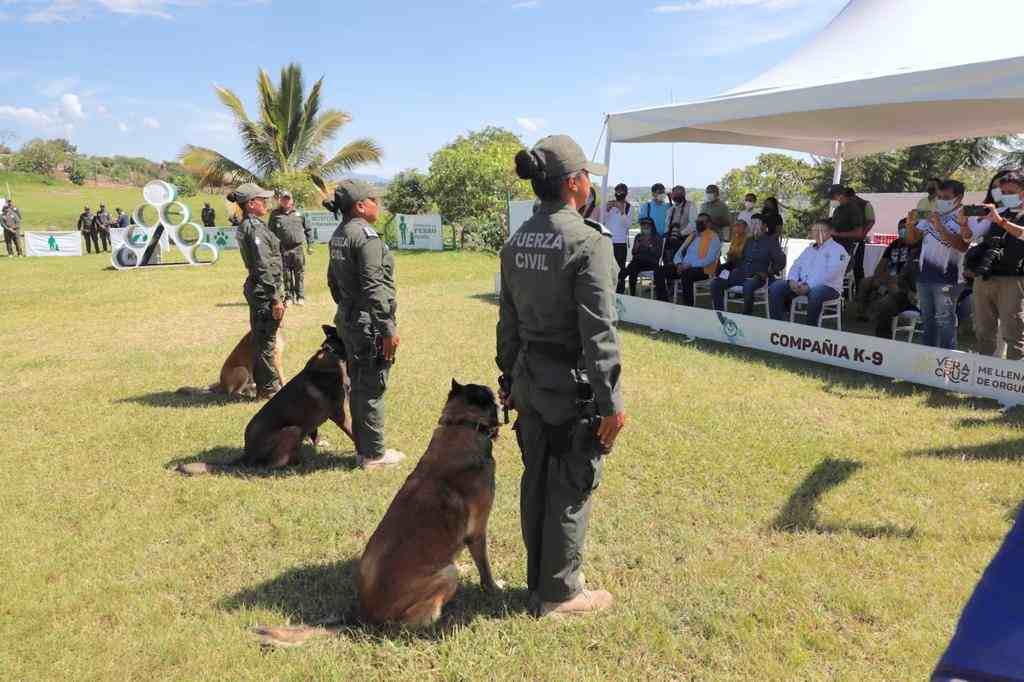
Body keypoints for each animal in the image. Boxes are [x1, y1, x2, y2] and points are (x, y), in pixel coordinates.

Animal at [256, 378, 503, 647]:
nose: (501, 392)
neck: (461, 424)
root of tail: (361, 615)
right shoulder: (477, 532)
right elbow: (485, 567)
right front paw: (494, 588)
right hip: (447, 575)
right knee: (409, 624)